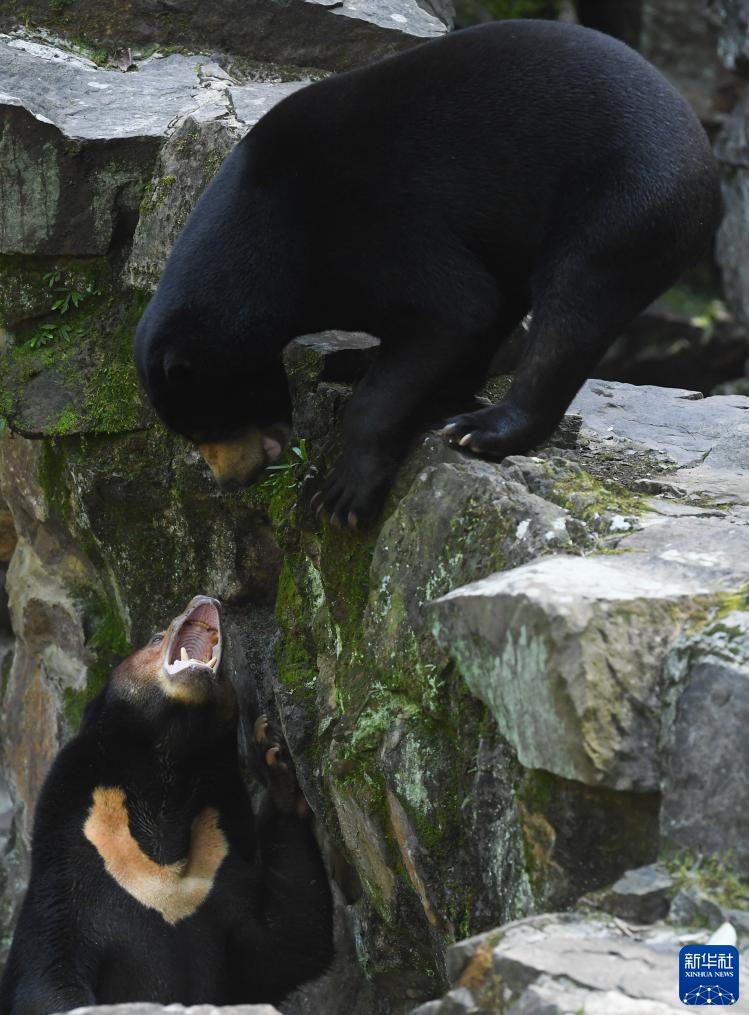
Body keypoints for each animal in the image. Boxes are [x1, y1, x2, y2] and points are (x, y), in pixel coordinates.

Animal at [0, 592, 332, 1015]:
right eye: (156, 636)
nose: (205, 598)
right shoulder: (71, 874)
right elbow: (45, 971)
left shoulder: (216, 872)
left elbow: (286, 946)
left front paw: (275, 762)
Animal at [132, 17, 718, 531]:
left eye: (205, 423)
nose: (231, 480)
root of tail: (704, 160)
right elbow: (472, 315)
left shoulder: (370, 230)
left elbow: (456, 308)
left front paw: (340, 496)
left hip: (625, 201)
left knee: (572, 309)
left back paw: (482, 429)